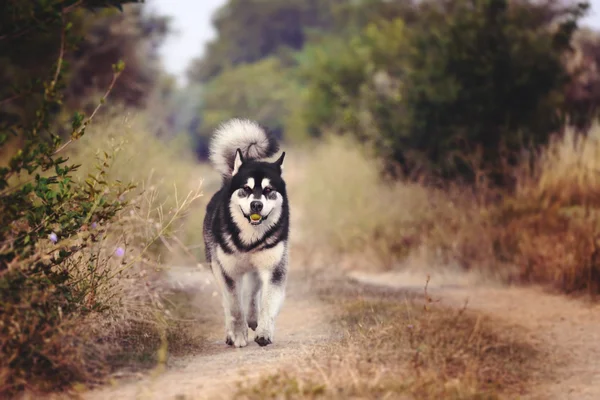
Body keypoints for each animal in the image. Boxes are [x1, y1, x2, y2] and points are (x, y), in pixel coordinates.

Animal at [203, 118, 290, 346]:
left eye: (268, 190)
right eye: (246, 189)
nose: (256, 205)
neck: (250, 238)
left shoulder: (273, 268)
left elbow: (267, 304)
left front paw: (264, 332)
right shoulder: (228, 271)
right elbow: (234, 306)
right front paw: (238, 334)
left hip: (255, 269)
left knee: (252, 294)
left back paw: (253, 319)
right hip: (216, 263)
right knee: (228, 302)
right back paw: (231, 333)